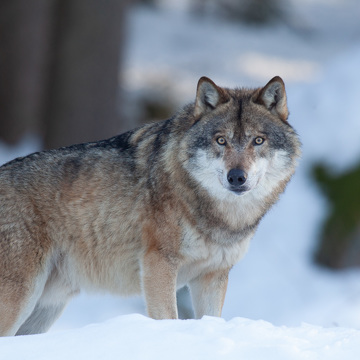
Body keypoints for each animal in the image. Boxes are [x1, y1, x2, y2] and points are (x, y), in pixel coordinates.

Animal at [0, 75, 300, 334]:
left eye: (258, 140)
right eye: (221, 140)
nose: (236, 177)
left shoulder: (213, 276)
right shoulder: (159, 263)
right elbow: (168, 318)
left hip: (45, 308)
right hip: (21, 299)